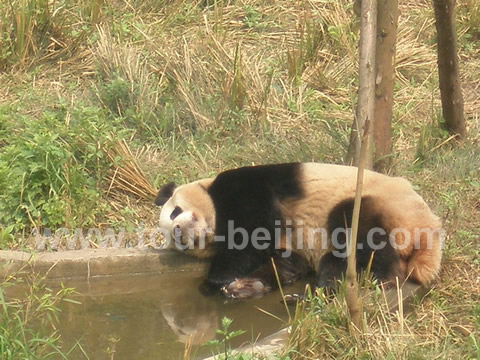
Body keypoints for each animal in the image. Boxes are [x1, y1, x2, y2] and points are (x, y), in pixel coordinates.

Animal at [155, 163, 442, 298]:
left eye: (175, 211)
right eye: (180, 243)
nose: (180, 232)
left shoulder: (243, 188)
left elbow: (250, 235)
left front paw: (213, 283)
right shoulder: (288, 243)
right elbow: (287, 262)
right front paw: (246, 286)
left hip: (385, 206)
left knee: (356, 227)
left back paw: (382, 278)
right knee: (335, 261)